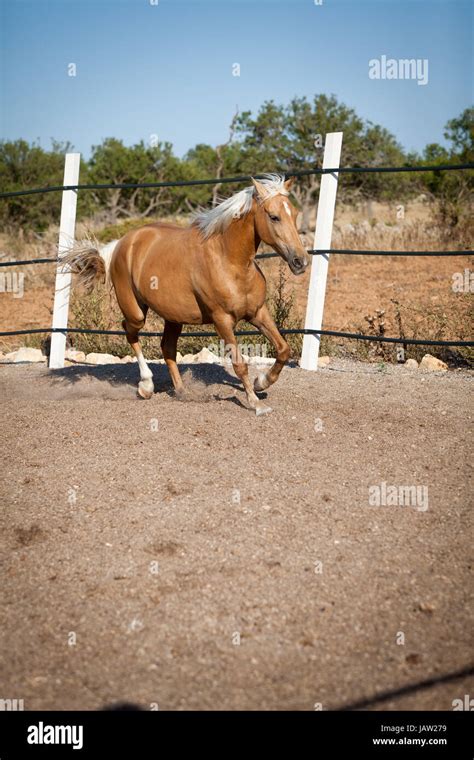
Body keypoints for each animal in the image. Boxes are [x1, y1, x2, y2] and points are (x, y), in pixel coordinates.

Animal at [67, 174, 312, 412]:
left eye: (294, 214)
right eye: (274, 217)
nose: (300, 261)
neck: (231, 262)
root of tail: (121, 243)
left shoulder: (258, 312)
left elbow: (283, 349)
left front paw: (262, 382)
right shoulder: (222, 320)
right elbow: (239, 363)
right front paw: (255, 403)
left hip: (173, 317)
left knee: (167, 347)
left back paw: (182, 391)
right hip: (135, 312)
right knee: (130, 331)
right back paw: (146, 386)